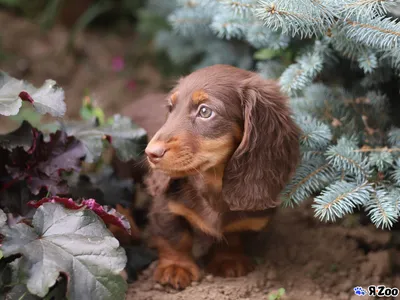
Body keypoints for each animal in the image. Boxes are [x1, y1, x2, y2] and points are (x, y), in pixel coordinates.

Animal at [144, 64, 300, 290]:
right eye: (170, 108)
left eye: (205, 111)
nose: (150, 153)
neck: (213, 182)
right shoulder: (164, 206)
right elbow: (174, 235)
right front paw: (175, 267)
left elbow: (233, 234)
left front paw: (228, 260)